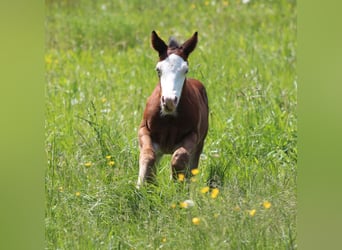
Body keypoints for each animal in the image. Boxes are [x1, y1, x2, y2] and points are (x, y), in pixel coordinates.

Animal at [136, 30, 208, 188]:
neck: (169, 118)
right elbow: (148, 155)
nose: (169, 101)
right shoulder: (144, 129)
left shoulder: (193, 135)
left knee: (192, 166)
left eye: (185, 70)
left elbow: (179, 157)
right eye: (158, 70)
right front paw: (142, 186)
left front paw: (176, 185)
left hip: (200, 144)